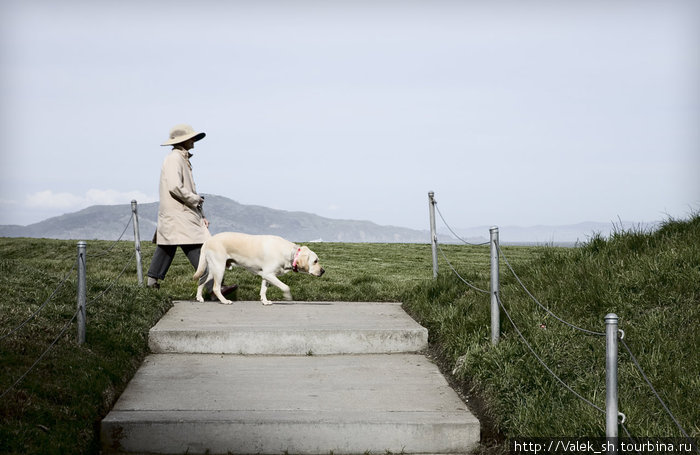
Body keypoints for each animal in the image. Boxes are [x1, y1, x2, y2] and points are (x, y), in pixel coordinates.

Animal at [191, 233, 322, 304]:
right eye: (315, 261)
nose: (323, 271)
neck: (289, 252)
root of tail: (207, 241)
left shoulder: (266, 275)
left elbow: (263, 290)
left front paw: (265, 301)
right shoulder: (269, 274)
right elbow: (285, 287)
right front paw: (288, 297)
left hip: (213, 270)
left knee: (201, 280)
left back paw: (199, 298)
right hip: (219, 268)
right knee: (216, 287)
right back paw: (224, 301)